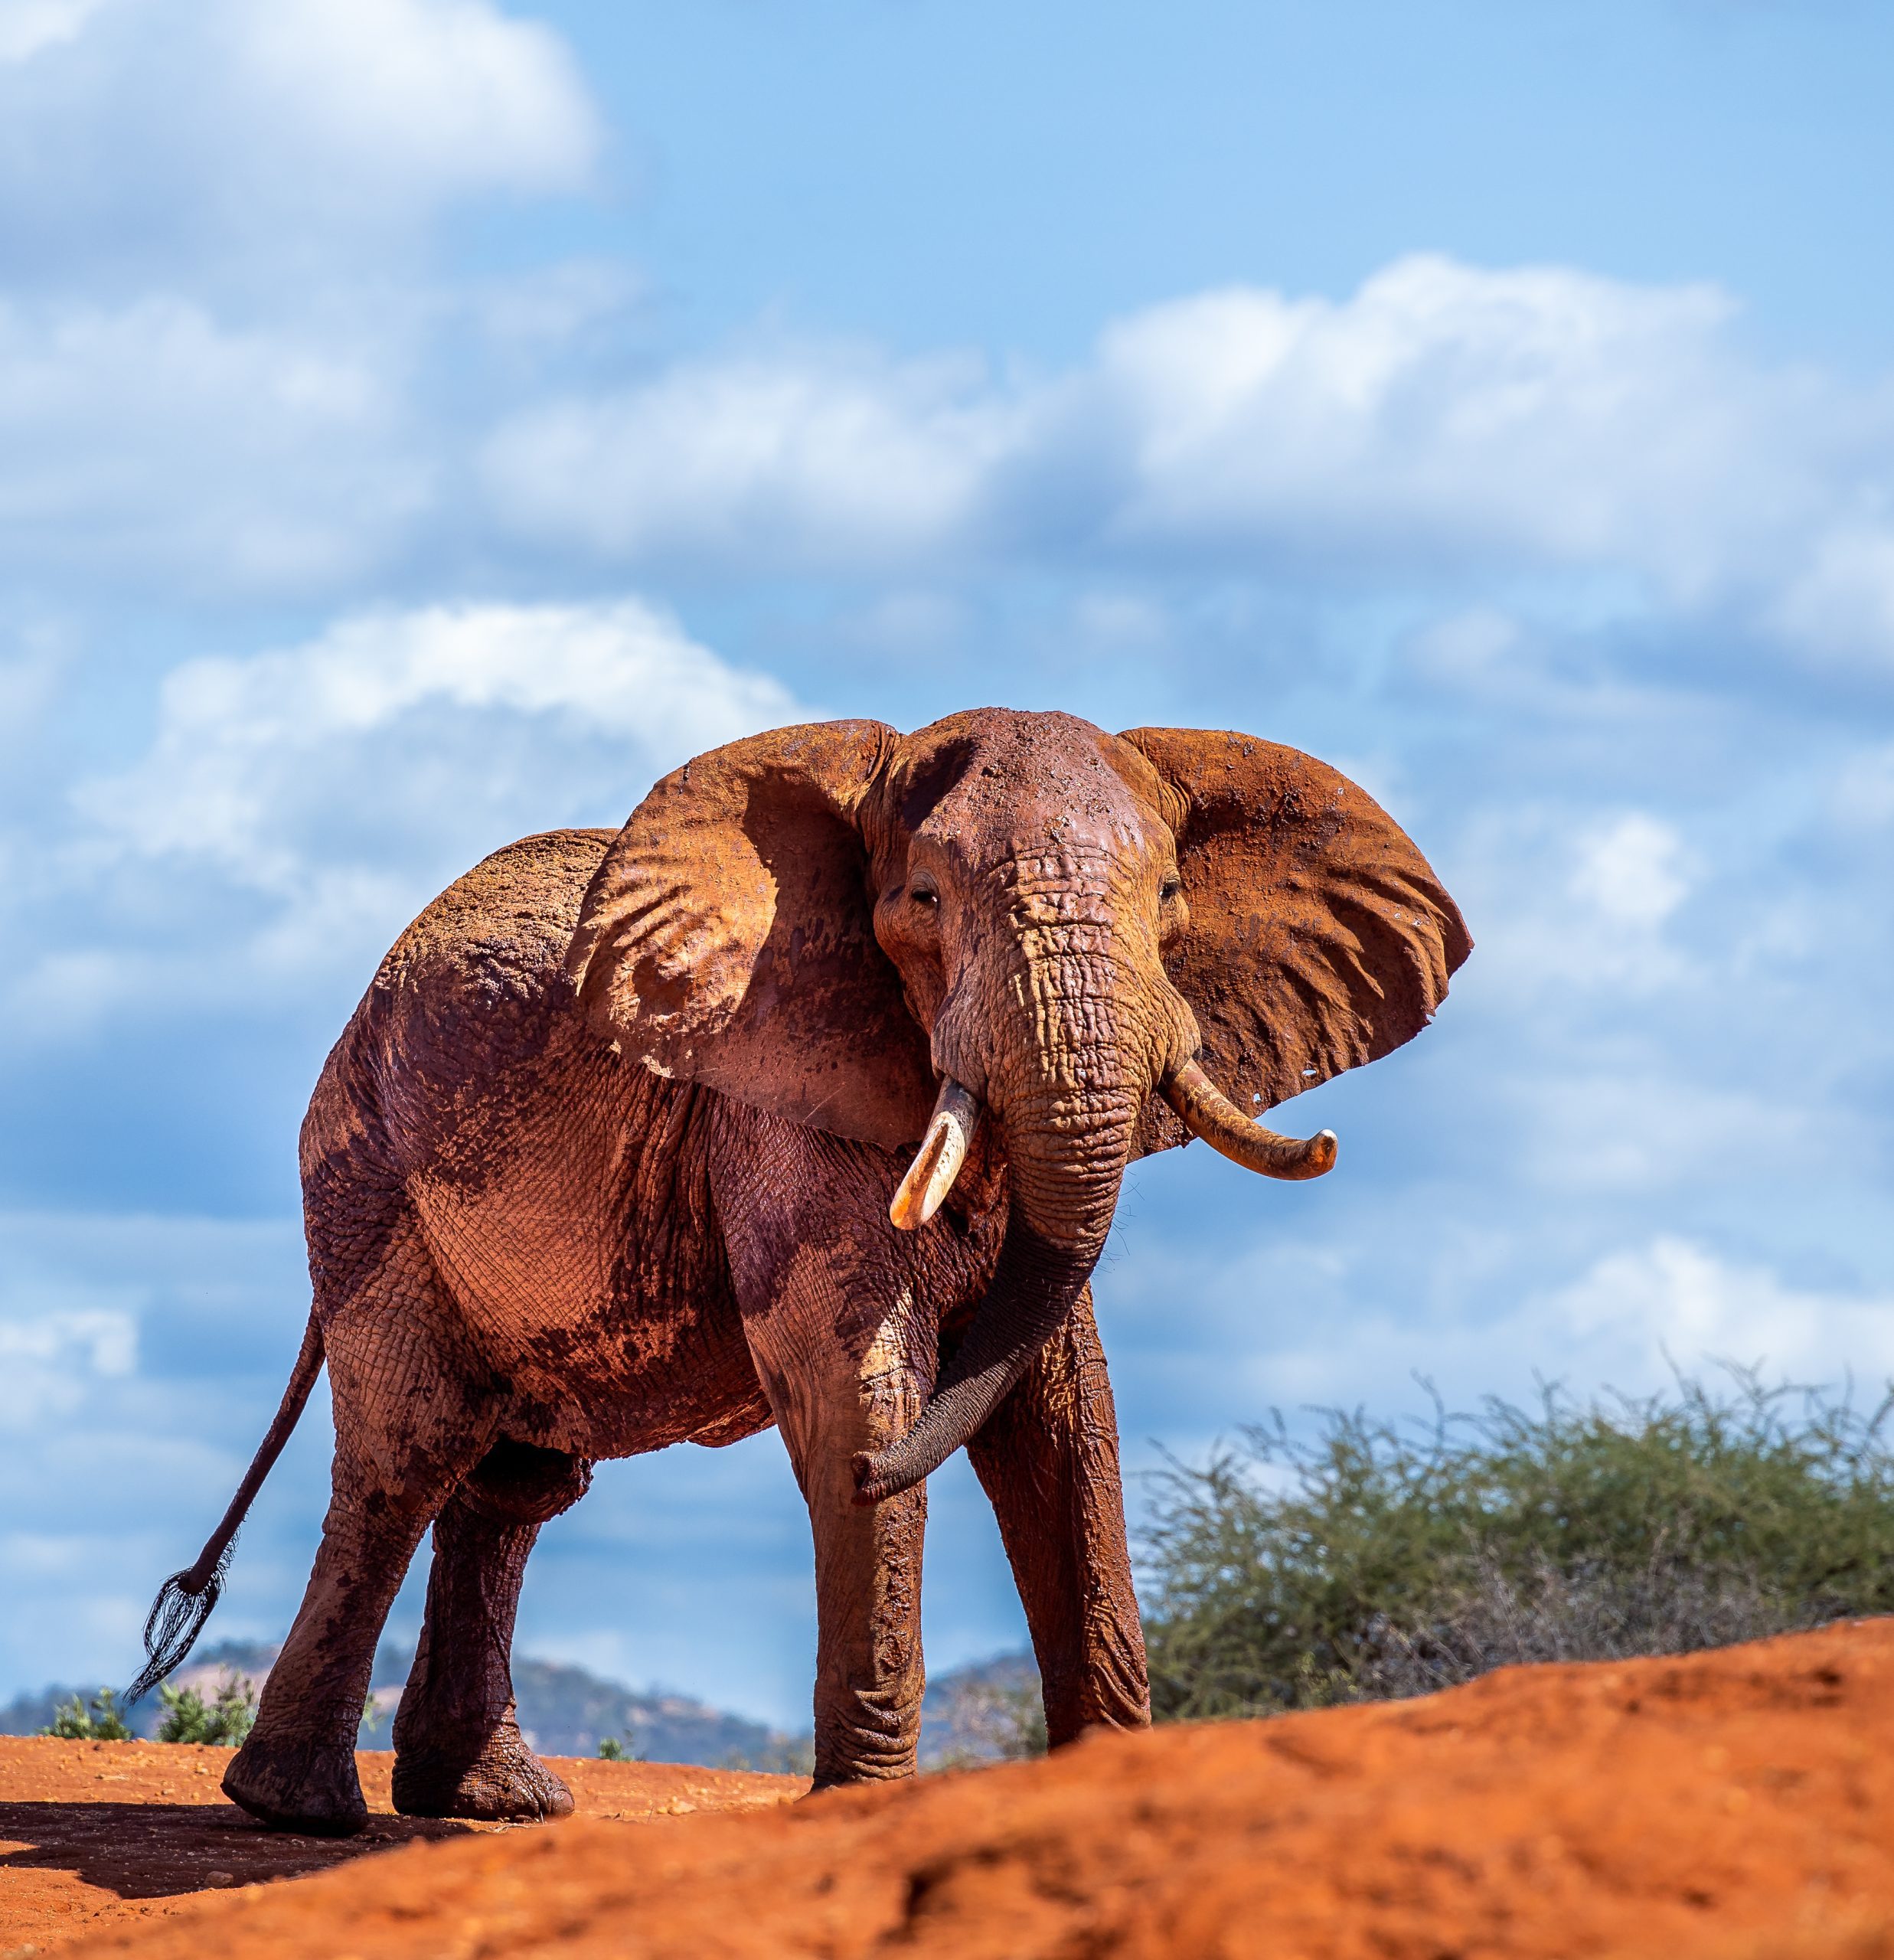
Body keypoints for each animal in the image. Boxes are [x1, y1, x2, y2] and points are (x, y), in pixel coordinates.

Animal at [130, 707, 1469, 1836]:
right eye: (922, 897)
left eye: (1172, 897)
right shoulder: (770, 1096)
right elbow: (852, 1369)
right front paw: (861, 1800)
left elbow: (1062, 1407)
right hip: (367, 1175)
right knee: (410, 1452)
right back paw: (301, 1814)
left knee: (513, 1483)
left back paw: (497, 1806)